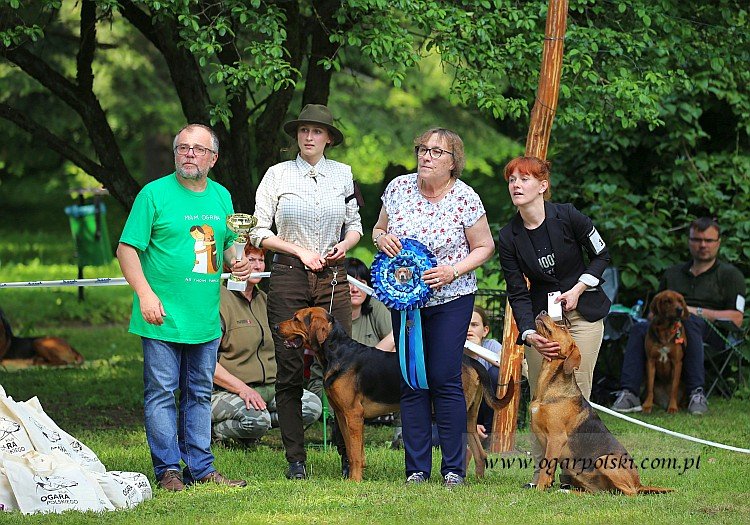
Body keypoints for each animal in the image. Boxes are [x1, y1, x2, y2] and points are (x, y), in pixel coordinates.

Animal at [532, 314, 672, 494]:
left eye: (562, 327)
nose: (543, 311)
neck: (549, 384)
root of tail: (638, 483)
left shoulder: (556, 438)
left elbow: (546, 468)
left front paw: (539, 489)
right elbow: (545, 467)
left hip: (604, 460)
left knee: (629, 493)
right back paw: (567, 491)